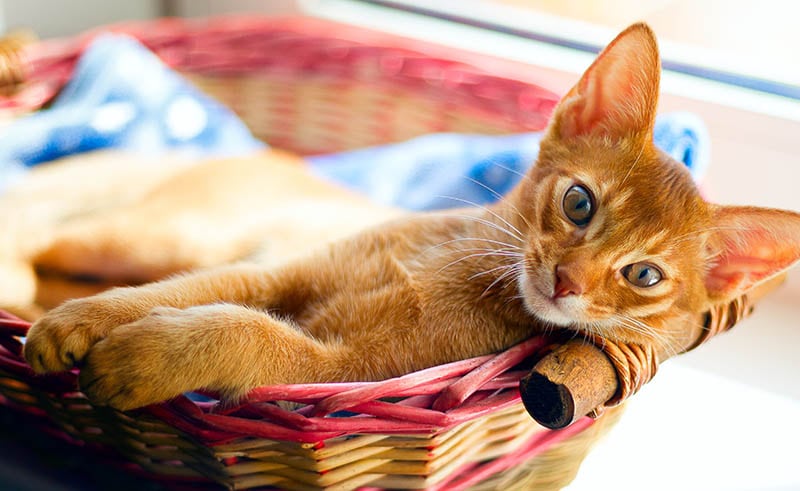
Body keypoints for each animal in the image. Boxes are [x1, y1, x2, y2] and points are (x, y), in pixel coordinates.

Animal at [20, 25, 800, 414]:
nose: (567, 281)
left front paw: (140, 359)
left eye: (644, 276)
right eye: (579, 202)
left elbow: (246, 332)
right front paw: (84, 323)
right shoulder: (276, 269)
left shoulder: (342, 370)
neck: (451, 266)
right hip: (150, 234)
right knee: (42, 242)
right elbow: (179, 295)